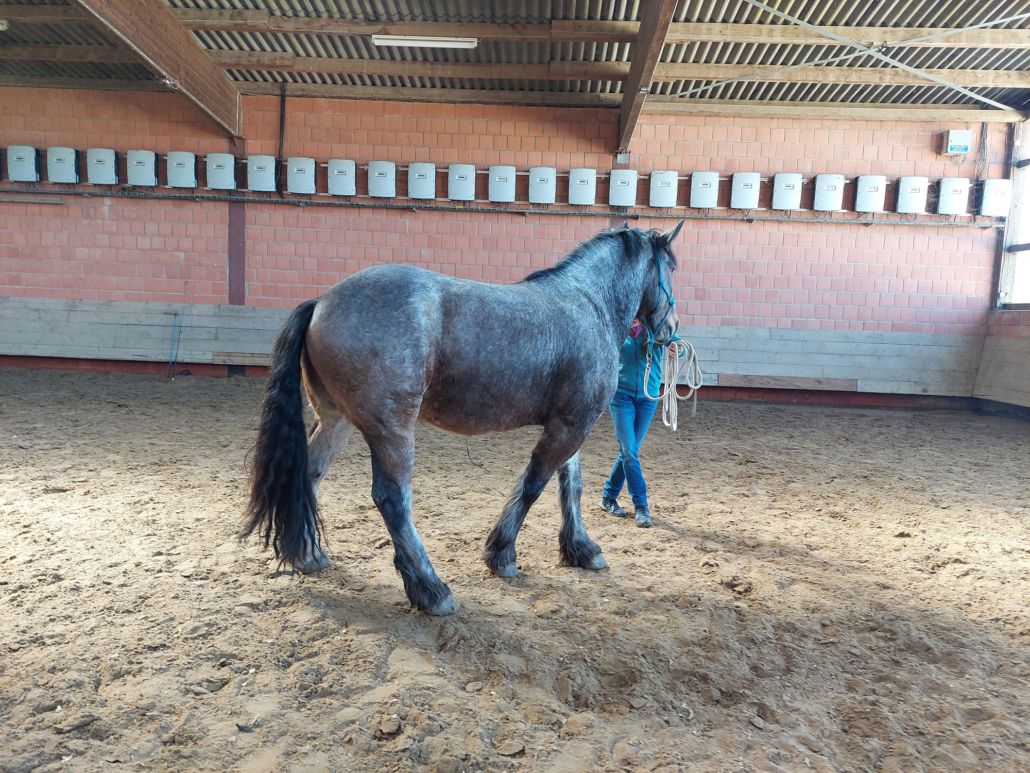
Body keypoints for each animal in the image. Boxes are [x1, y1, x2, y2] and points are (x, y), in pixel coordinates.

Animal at [242, 221, 684, 615]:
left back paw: (309, 556)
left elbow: (569, 486)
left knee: (308, 476)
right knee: (393, 500)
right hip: (391, 430)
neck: (589, 303)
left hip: (337, 421)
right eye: (672, 267)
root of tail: (320, 302)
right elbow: (533, 486)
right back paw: (430, 590)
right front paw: (501, 555)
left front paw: (581, 549)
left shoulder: (572, 422)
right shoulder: (571, 428)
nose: (671, 330)